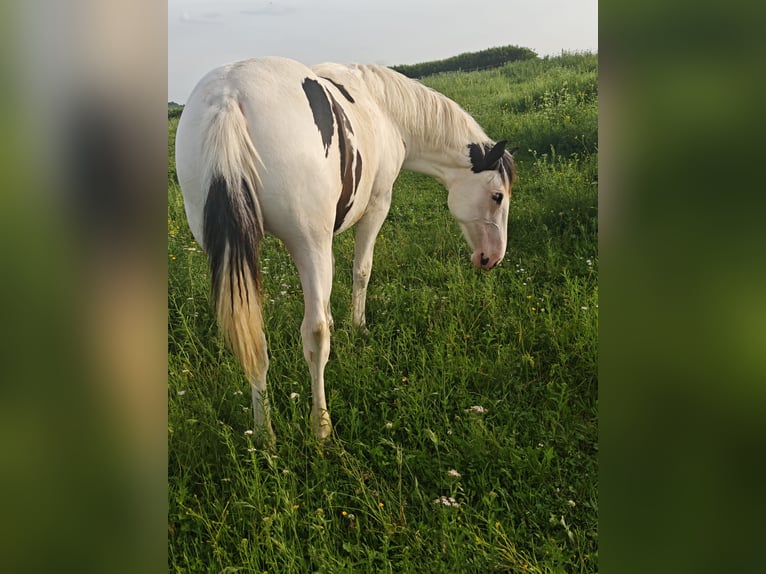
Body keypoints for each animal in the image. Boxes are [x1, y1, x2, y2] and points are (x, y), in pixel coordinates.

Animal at [175, 57, 516, 444]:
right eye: (497, 196)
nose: (492, 258)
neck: (384, 107)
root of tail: (229, 96)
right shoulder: (377, 205)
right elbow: (361, 271)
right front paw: (359, 327)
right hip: (308, 243)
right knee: (315, 333)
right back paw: (320, 425)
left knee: (254, 340)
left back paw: (265, 435)